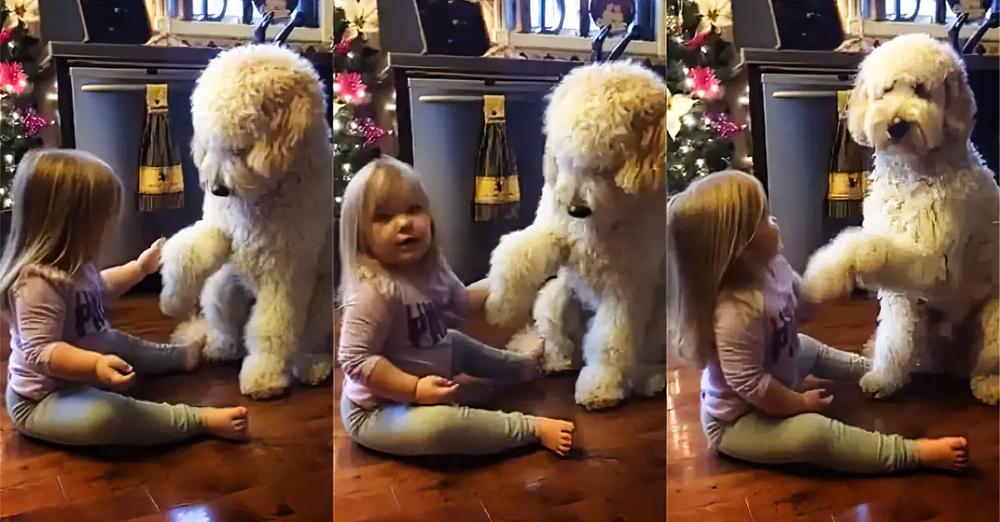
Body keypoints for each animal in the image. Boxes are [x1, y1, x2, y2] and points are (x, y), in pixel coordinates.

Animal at [158, 44, 334, 396]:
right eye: (210, 143)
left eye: (240, 148)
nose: (218, 189)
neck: (263, 195)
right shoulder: (221, 229)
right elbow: (187, 251)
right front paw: (172, 299)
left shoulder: (284, 275)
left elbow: (271, 329)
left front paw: (264, 376)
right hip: (221, 289)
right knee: (227, 329)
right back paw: (219, 347)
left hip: (320, 301)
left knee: (306, 340)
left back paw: (312, 365)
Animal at [482, 61, 664, 408]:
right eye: (567, 155)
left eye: (608, 161)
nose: (576, 209)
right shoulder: (554, 234)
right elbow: (516, 255)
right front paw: (500, 306)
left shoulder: (625, 289)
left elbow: (609, 340)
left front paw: (599, 387)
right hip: (554, 299)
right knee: (561, 341)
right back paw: (557, 360)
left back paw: (648, 379)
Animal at [800, 34, 996, 404]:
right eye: (887, 89)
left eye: (921, 89)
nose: (897, 125)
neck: (911, 173)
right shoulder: (901, 292)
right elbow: (895, 335)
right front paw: (884, 378)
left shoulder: (934, 263)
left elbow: (863, 246)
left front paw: (823, 275)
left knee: (988, 357)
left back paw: (991, 384)